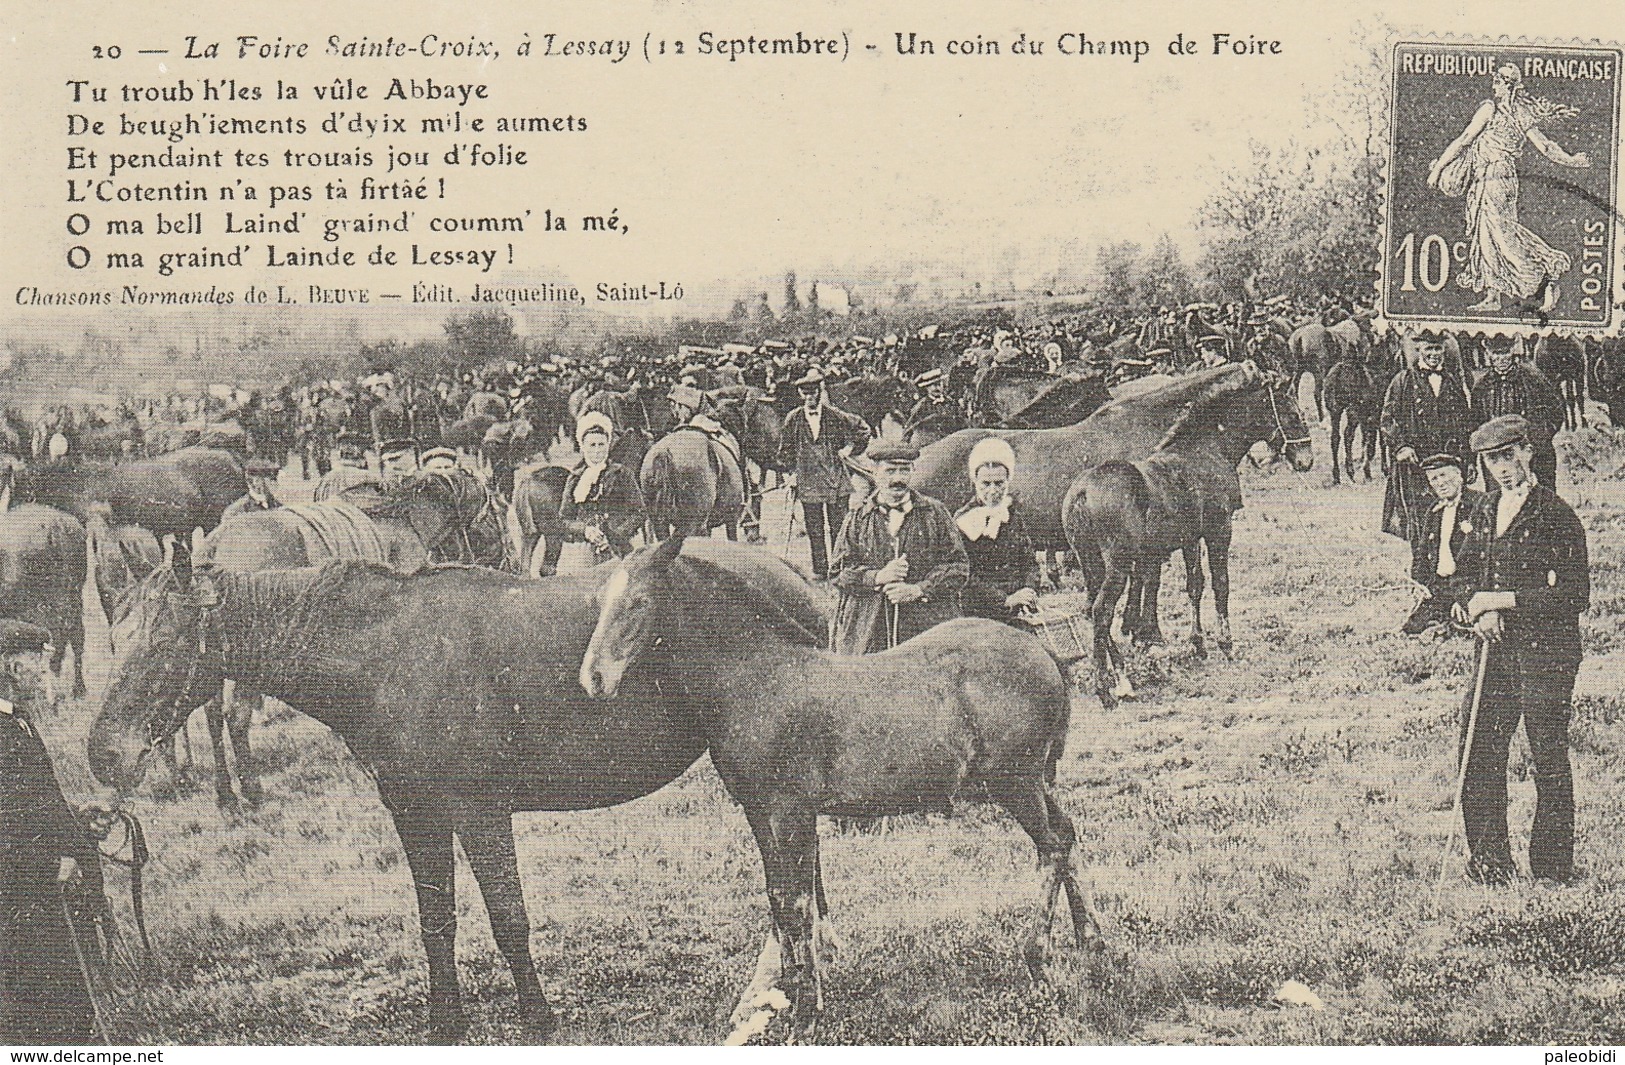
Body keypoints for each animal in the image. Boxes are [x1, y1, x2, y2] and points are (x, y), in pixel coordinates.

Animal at [88, 543, 825, 1040]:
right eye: (118, 636)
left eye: (164, 641)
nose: (103, 753)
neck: (387, 657)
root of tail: (791, 577)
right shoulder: (415, 816)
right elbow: (436, 920)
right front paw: (446, 1019)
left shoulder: (479, 813)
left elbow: (508, 918)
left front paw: (538, 1016)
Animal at [578, 536, 1098, 1040]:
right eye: (602, 602)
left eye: (639, 602)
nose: (593, 679)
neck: (759, 682)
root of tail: (1044, 656)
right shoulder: (758, 811)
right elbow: (776, 895)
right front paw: (786, 993)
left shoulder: (792, 812)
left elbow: (798, 902)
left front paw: (807, 1013)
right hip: (1036, 780)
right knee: (1068, 833)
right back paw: (1091, 937)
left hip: (1014, 782)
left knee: (1051, 847)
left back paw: (1038, 958)